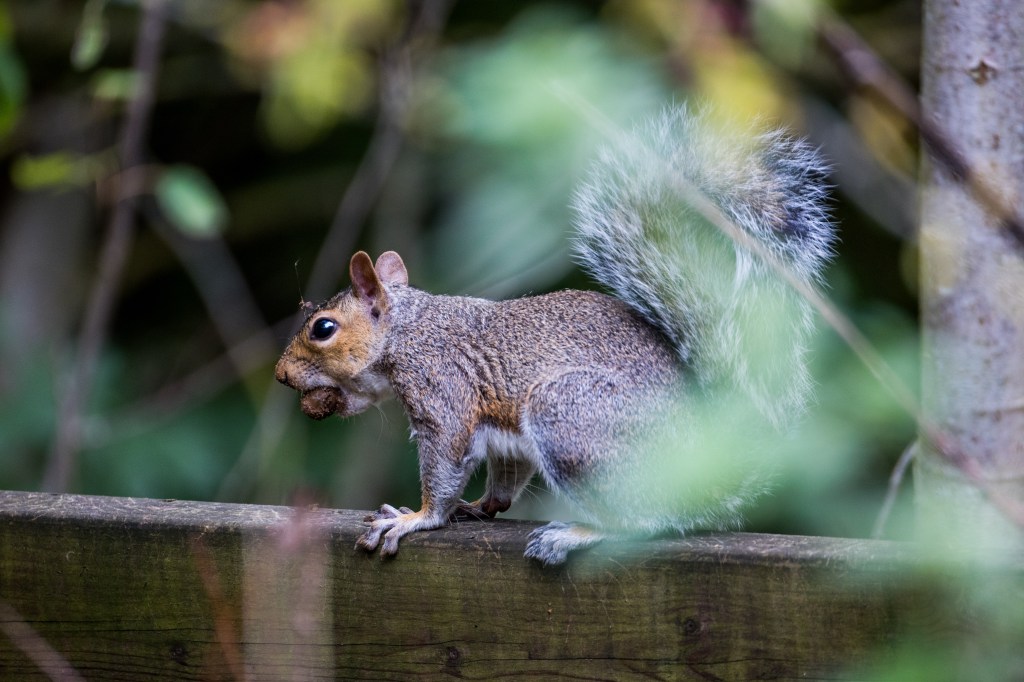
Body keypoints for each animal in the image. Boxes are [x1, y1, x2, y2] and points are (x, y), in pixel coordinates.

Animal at [274, 106, 835, 565]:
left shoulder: (443, 392)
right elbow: (506, 473)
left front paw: (415, 518)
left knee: (645, 520)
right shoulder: (502, 435)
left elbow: (445, 462)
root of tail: (709, 470)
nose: (280, 374)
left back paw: (576, 534)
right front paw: (481, 505)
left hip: (568, 415)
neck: (410, 331)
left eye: (323, 329)